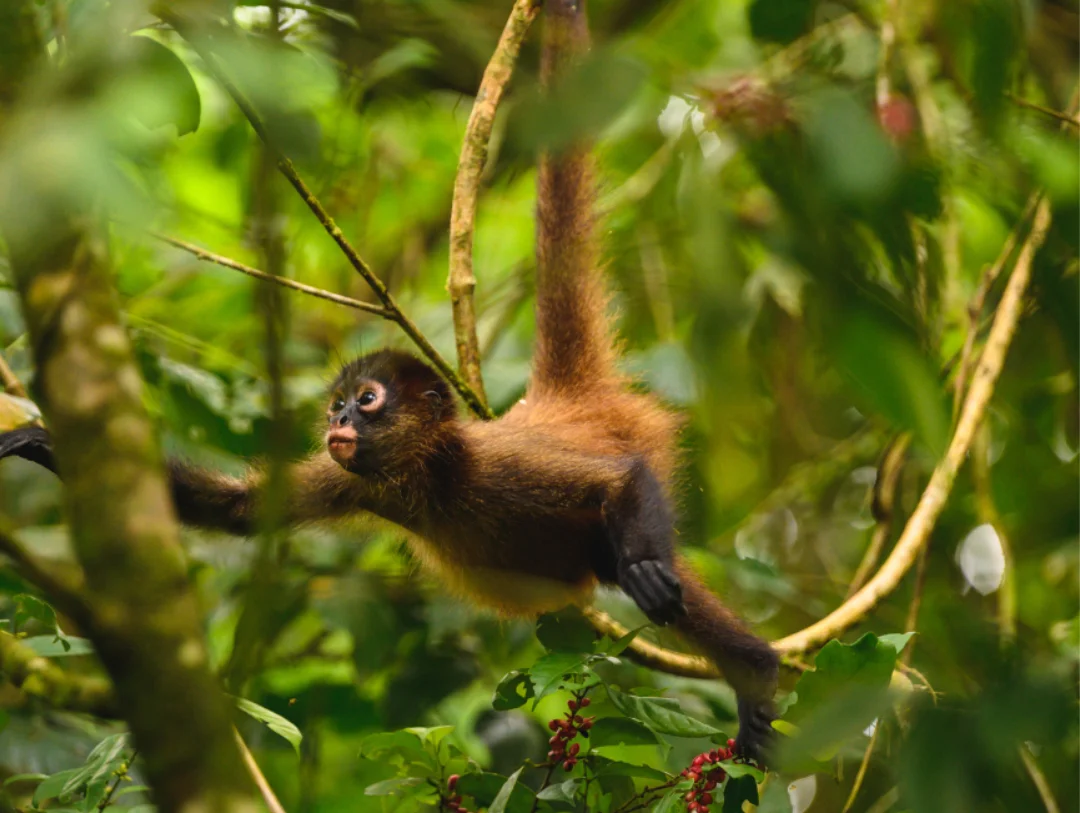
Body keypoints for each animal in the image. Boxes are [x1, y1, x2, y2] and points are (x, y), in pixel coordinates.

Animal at [0, 0, 778, 761]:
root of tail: (565, 398)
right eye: (337, 407)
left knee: (650, 568)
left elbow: (622, 480)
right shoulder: (360, 480)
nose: (340, 423)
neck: (430, 477)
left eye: (367, 402)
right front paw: (42, 443)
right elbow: (244, 511)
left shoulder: (492, 465)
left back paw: (752, 665)